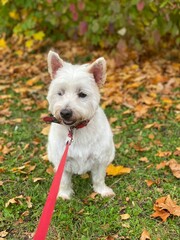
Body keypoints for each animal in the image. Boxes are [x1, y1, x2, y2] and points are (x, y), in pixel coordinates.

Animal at [46, 50, 115, 199]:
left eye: (82, 94)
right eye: (60, 93)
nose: (65, 112)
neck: (75, 129)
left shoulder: (100, 159)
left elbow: (99, 177)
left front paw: (102, 191)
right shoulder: (62, 159)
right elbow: (63, 180)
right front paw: (64, 194)